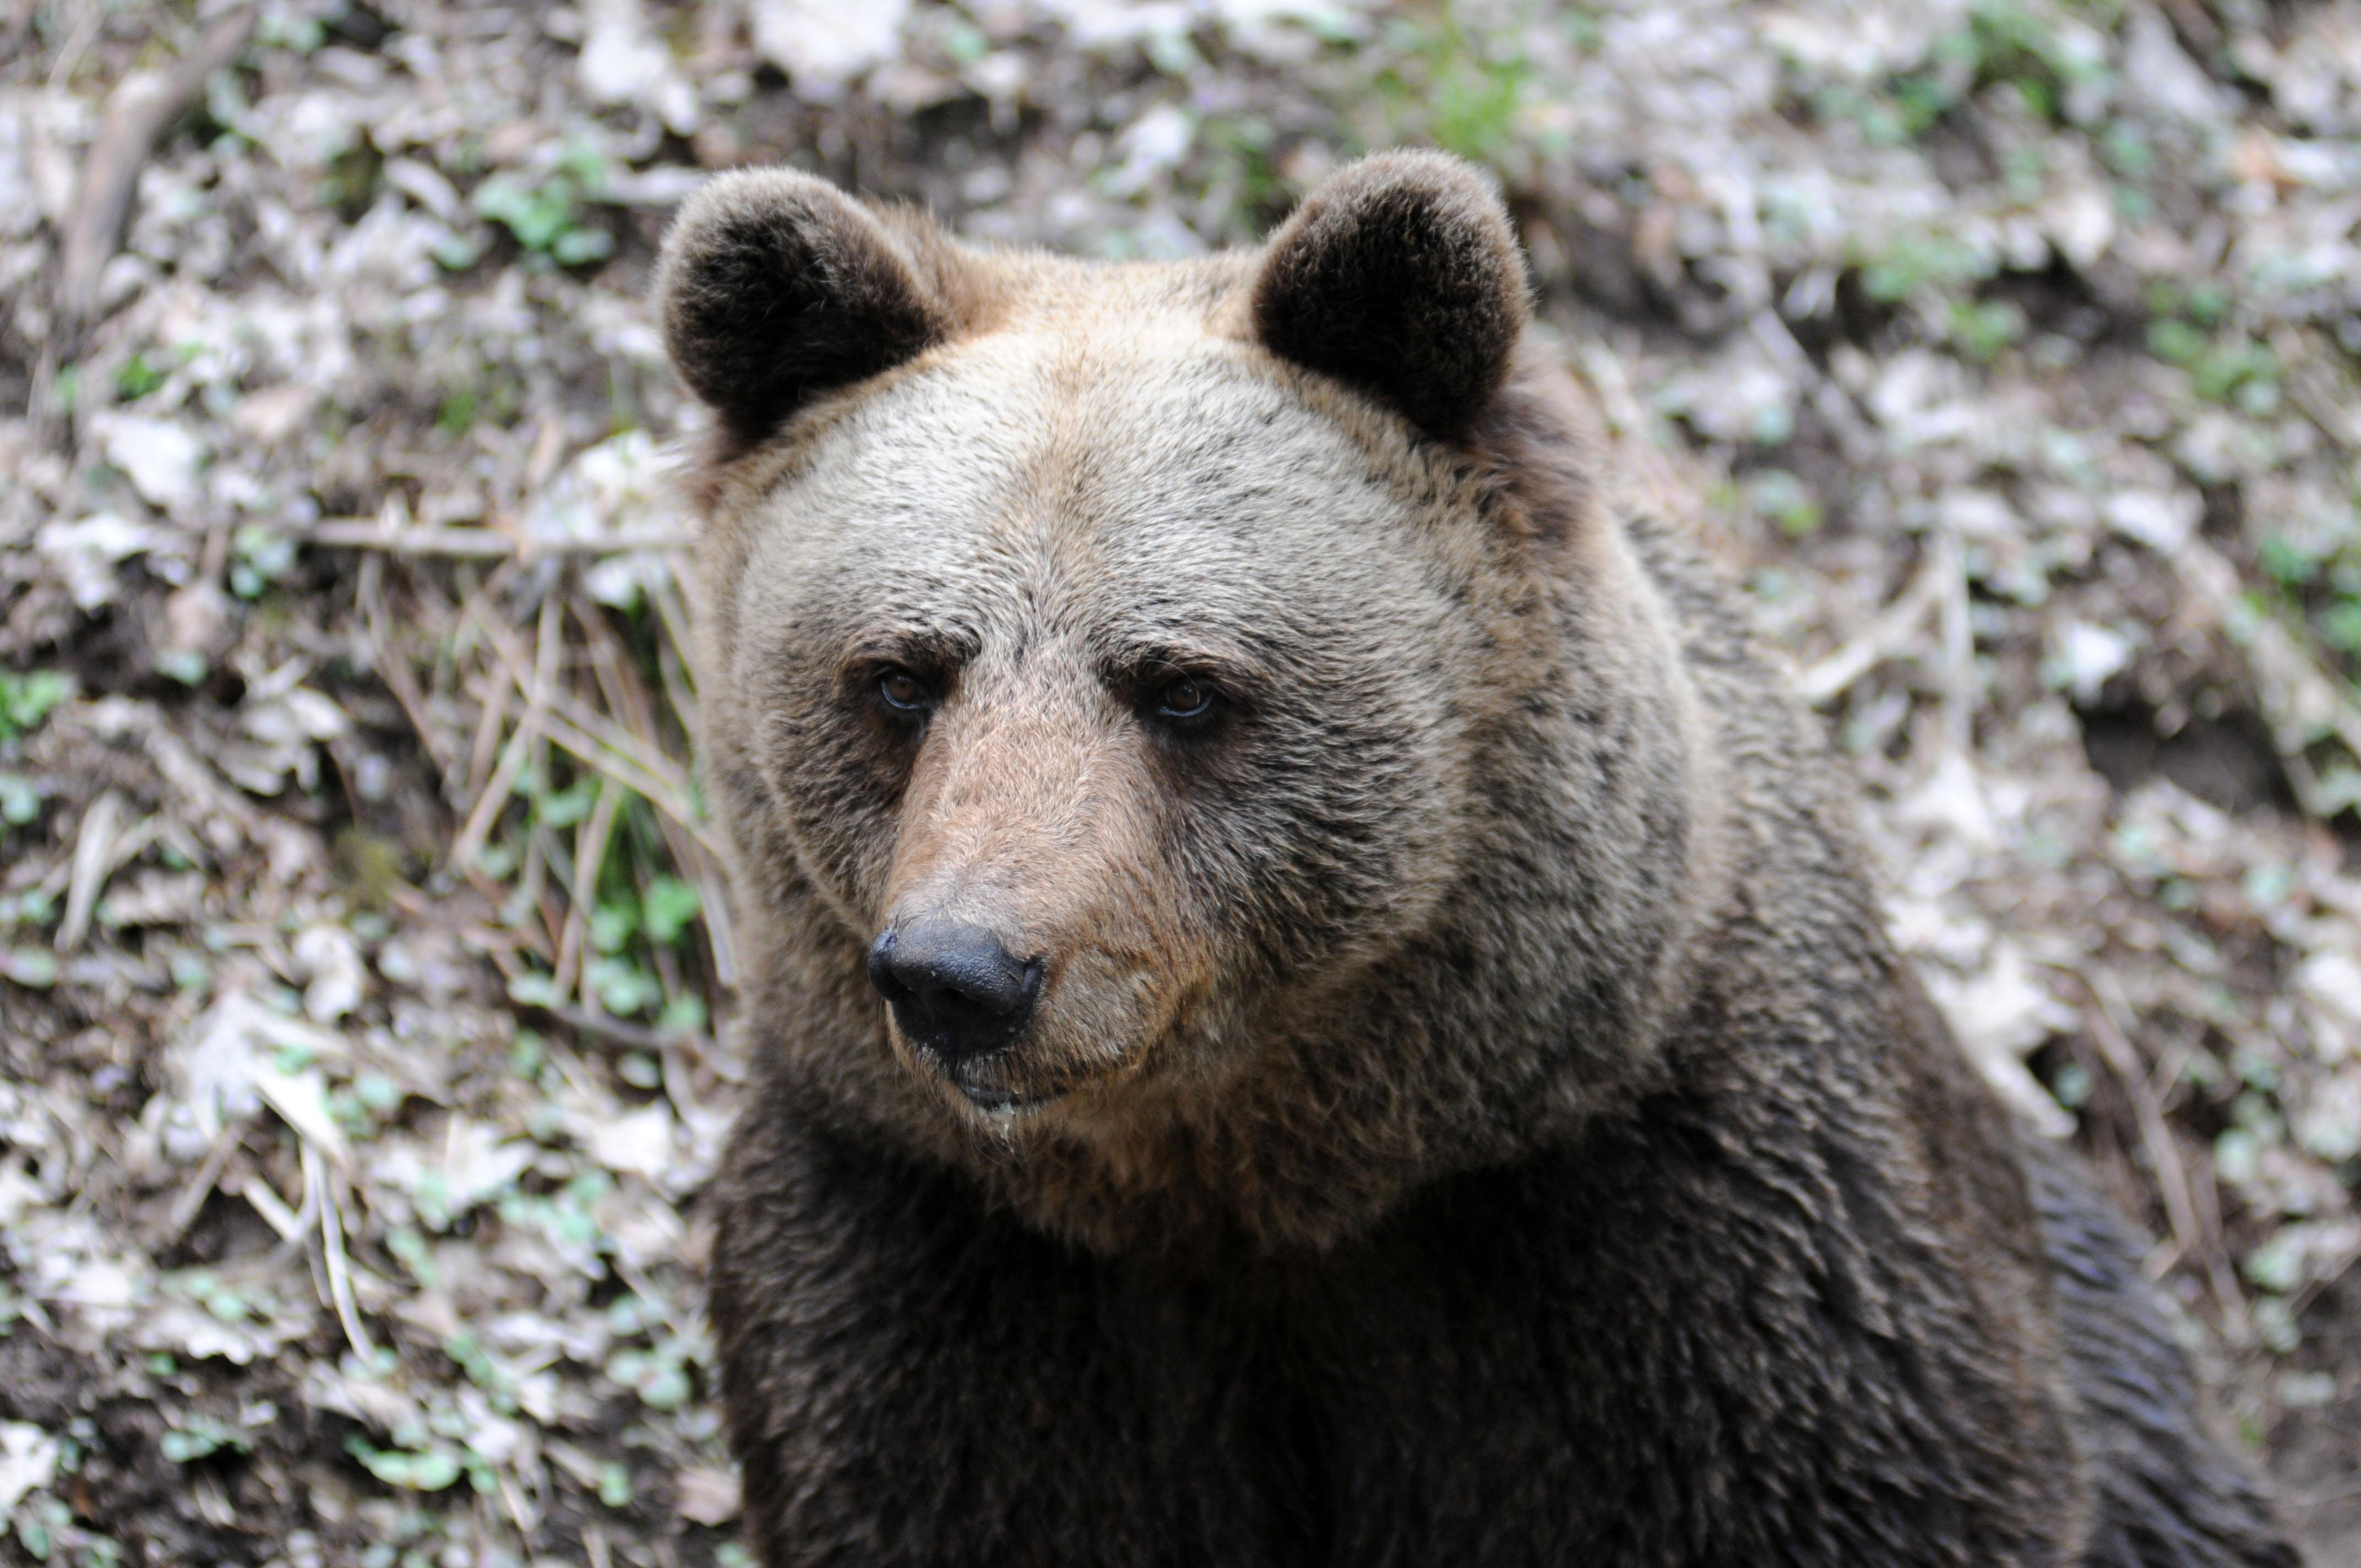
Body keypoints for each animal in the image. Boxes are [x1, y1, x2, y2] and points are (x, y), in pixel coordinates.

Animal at [656, 150, 2294, 1567]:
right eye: (899, 675)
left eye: (1182, 684)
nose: (963, 973)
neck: (1271, 1180)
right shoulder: (944, 1259)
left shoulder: (1698, 1255)